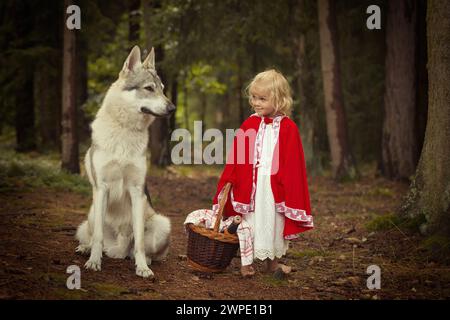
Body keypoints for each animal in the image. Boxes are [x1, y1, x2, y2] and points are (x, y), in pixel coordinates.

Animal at [74, 45, 175, 278]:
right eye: (149, 88)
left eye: (162, 89)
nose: (173, 108)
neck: (125, 131)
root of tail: (117, 249)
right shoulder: (102, 187)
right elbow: (97, 237)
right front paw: (94, 263)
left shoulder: (137, 191)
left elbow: (139, 241)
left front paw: (142, 267)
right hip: (91, 214)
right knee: (94, 238)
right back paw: (86, 249)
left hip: (162, 223)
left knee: (143, 249)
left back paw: (142, 259)